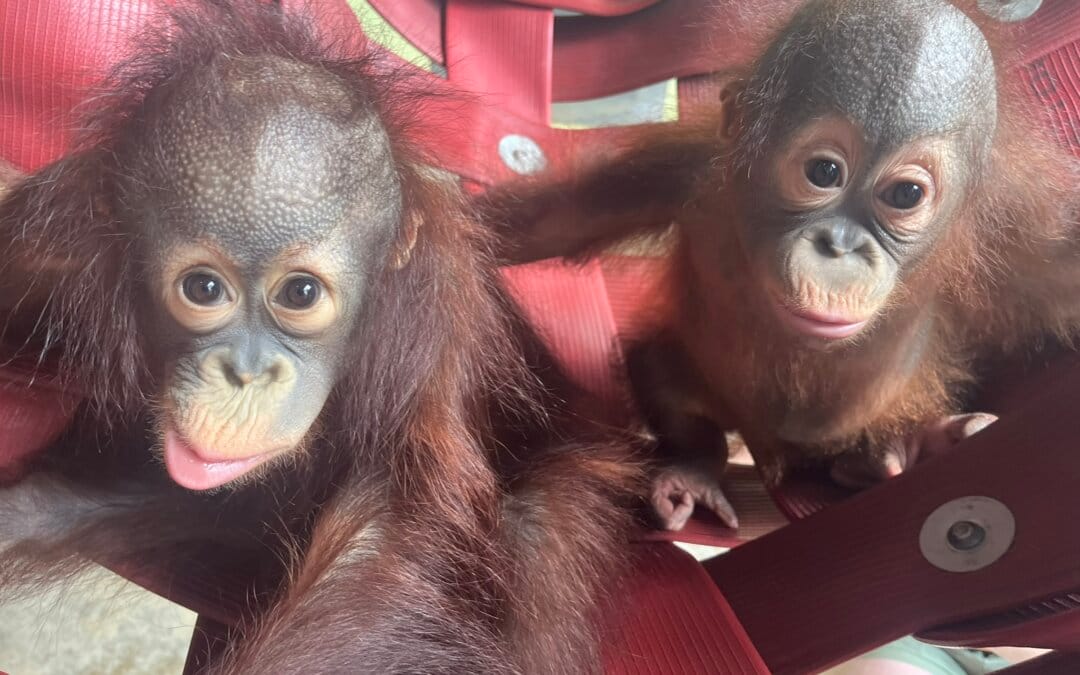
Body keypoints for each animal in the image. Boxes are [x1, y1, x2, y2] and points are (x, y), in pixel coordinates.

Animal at [0, 3, 641, 672]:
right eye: (203, 288)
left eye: (300, 294)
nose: (246, 373)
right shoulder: (52, 251)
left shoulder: (430, 356)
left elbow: (387, 548)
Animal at [478, 0, 1080, 531]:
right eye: (823, 172)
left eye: (905, 194)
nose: (839, 246)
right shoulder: (686, 170)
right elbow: (560, 219)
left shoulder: (1011, 232)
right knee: (661, 369)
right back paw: (694, 470)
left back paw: (905, 446)